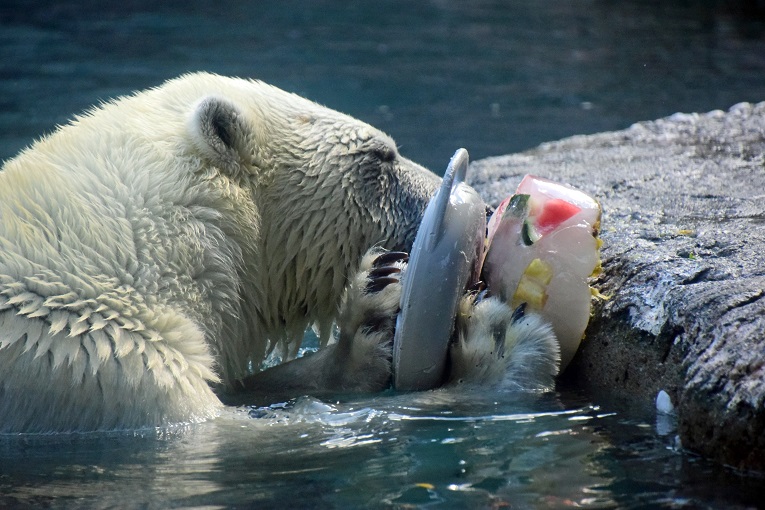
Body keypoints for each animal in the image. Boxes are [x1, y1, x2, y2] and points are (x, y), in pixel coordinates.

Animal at [0, 70, 556, 430]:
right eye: (380, 155)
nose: (487, 206)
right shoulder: (97, 362)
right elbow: (246, 432)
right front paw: (494, 349)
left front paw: (374, 303)